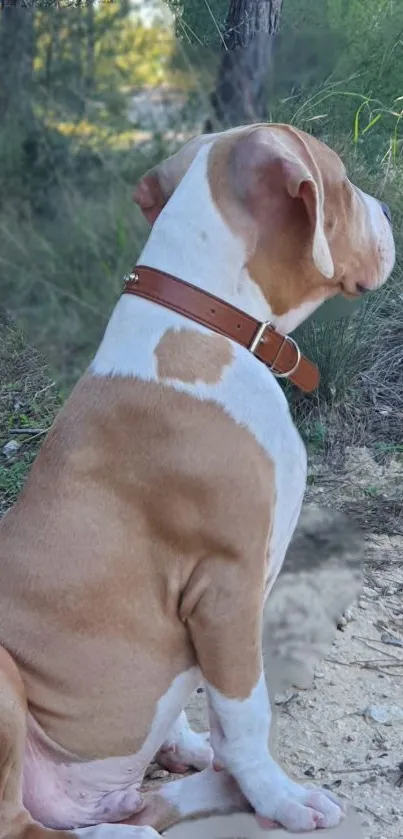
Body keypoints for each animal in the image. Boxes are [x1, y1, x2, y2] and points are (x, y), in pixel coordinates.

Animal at [0, 120, 396, 839]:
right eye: (343, 181)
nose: (387, 209)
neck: (209, 319)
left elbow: (200, 703)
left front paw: (189, 748)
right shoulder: (226, 586)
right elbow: (245, 710)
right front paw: (276, 795)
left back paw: (158, 798)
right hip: (3, 680)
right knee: (20, 823)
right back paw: (130, 826)